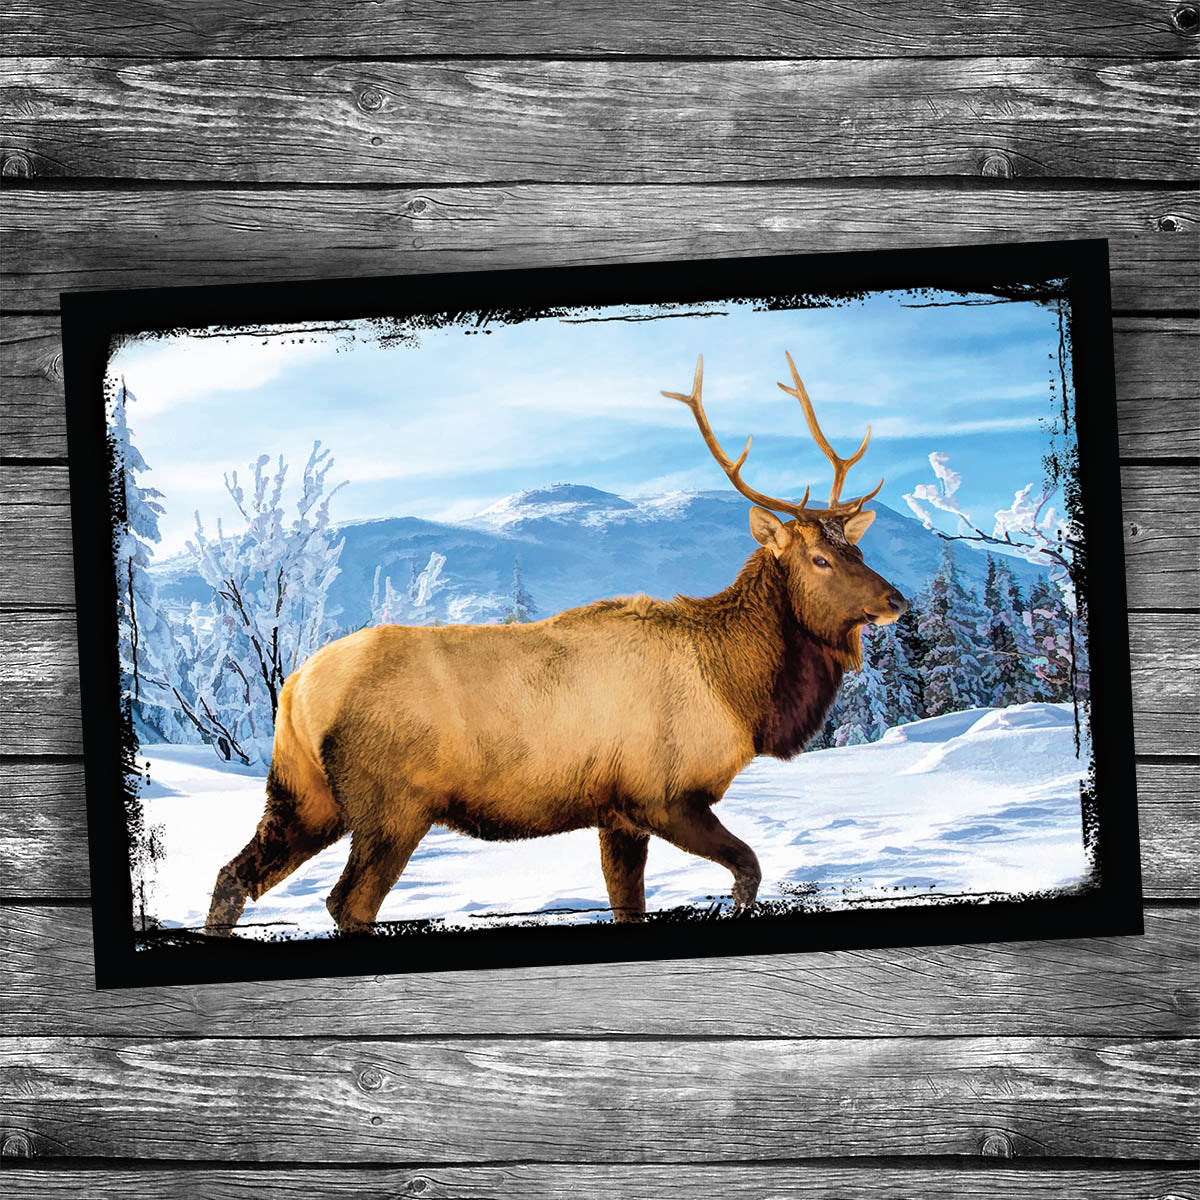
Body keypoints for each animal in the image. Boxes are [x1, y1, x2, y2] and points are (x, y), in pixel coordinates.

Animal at [205, 352, 908, 935]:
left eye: (858, 548)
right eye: (819, 558)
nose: (896, 600)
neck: (738, 692)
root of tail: (296, 689)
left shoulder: (616, 814)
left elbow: (630, 904)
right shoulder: (661, 795)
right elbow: (749, 871)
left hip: (305, 794)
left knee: (233, 877)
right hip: (392, 805)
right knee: (347, 902)